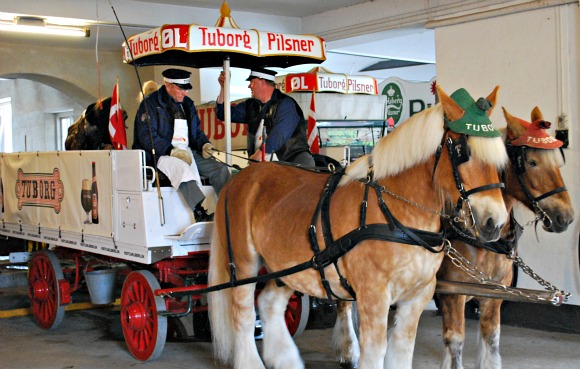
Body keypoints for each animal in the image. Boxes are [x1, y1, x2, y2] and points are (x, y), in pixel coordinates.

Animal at [207, 86, 508, 368]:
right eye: (462, 152)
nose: (495, 222)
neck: (394, 211)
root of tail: (240, 177)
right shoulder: (373, 295)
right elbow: (375, 352)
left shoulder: (417, 297)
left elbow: (402, 350)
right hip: (244, 263)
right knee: (244, 314)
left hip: (289, 268)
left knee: (269, 303)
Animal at [438, 106, 572, 368]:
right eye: (531, 162)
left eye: (558, 163)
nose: (566, 217)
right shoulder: (452, 295)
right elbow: (454, 346)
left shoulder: (493, 297)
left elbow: (491, 343)